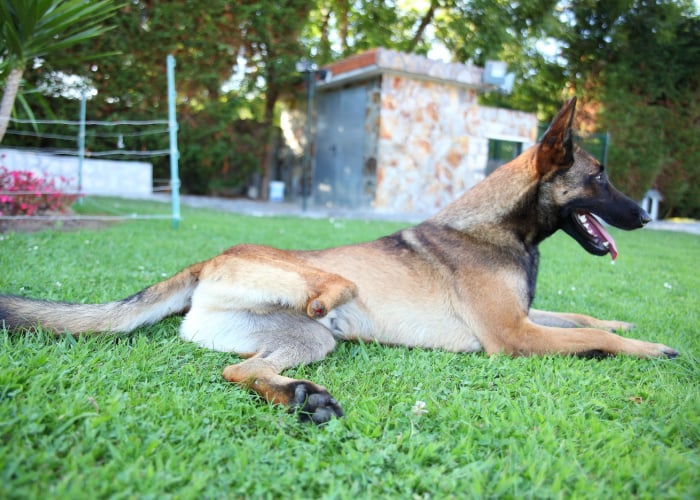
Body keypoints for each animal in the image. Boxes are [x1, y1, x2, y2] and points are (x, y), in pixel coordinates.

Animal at [0, 98, 680, 422]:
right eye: (600, 176)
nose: (647, 217)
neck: (499, 228)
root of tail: (209, 260)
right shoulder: (514, 336)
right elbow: (596, 337)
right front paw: (649, 348)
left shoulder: (529, 319)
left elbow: (587, 319)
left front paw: (627, 325)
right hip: (317, 293)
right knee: (315, 300)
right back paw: (318, 336)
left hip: (298, 340)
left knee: (240, 370)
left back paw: (301, 398)